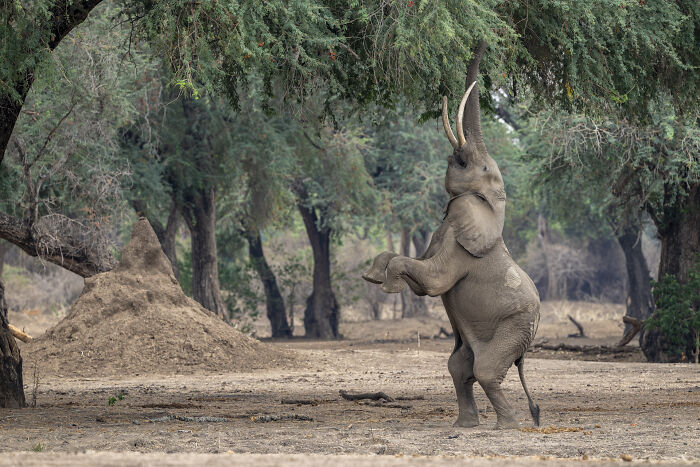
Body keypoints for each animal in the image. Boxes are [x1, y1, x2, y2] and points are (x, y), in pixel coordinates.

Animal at [362, 48, 540, 430]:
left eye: (482, 168)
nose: (481, 44)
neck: (489, 204)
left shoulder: (461, 248)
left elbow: (433, 283)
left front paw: (387, 286)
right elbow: (412, 269)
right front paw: (371, 275)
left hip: (516, 326)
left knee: (485, 370)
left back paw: (508, 427)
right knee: (460, 367)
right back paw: (466, 426)